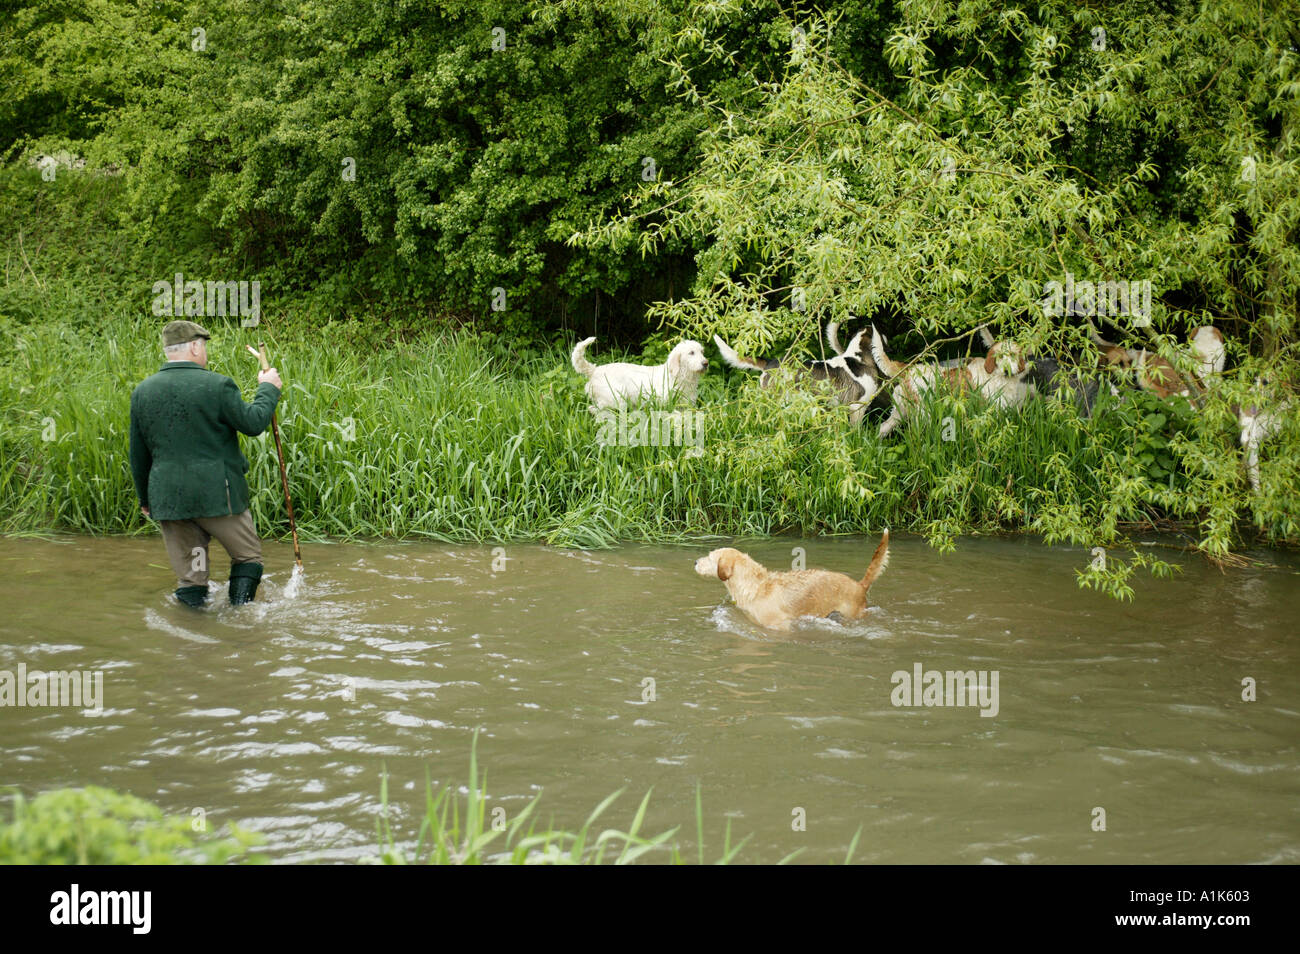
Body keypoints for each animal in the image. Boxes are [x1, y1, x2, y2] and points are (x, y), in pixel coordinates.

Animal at [572, 335, 712, 410]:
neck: (681, 377)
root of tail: (595, 370)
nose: (706, 363)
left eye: (702, 352)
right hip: (616, 400)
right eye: (691, 353)